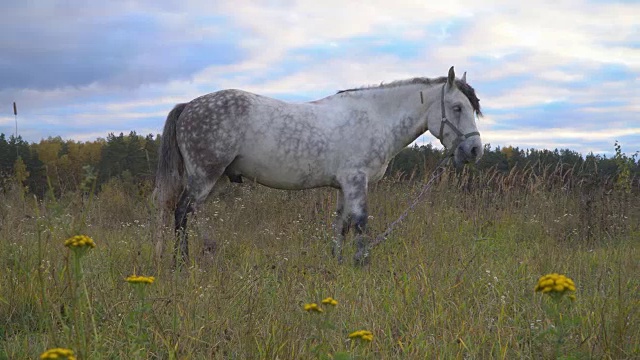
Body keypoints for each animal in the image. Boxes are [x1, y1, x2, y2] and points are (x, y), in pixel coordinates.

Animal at [155, 66, 482, 266]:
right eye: (457, 107)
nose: (475, 150)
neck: (375, 117)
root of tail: (188, 106)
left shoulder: (343, 186)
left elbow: (341, 225)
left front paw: (337, 264)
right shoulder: (356, 181)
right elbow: (360, 223)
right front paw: (361, 265)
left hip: (212, 178)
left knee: (191, 213)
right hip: (204, 176)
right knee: (183, 212)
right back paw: (182, 263)